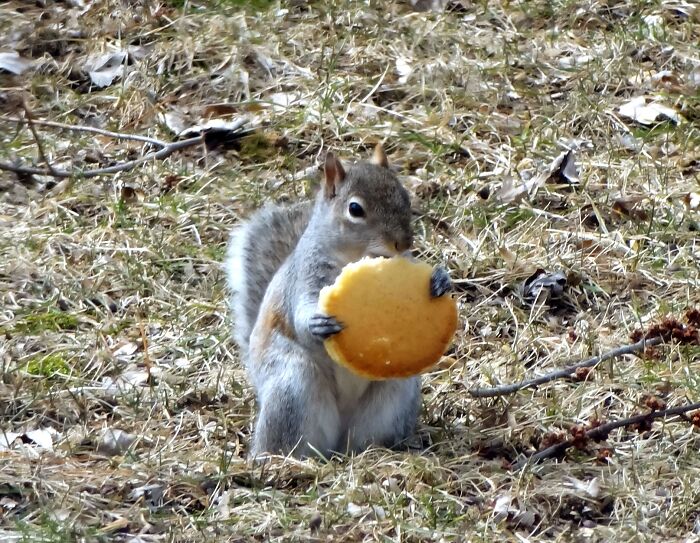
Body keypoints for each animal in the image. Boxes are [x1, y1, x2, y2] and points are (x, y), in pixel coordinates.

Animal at [226, 144, 454, 460]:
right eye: (355, 209)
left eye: (405, 197)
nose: (403, 243)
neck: (355, 255)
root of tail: (337, 447)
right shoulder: (305, 276)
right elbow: (300, 312)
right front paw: (317, 323)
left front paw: (441, 280)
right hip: (292, 384)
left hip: (395, 393)